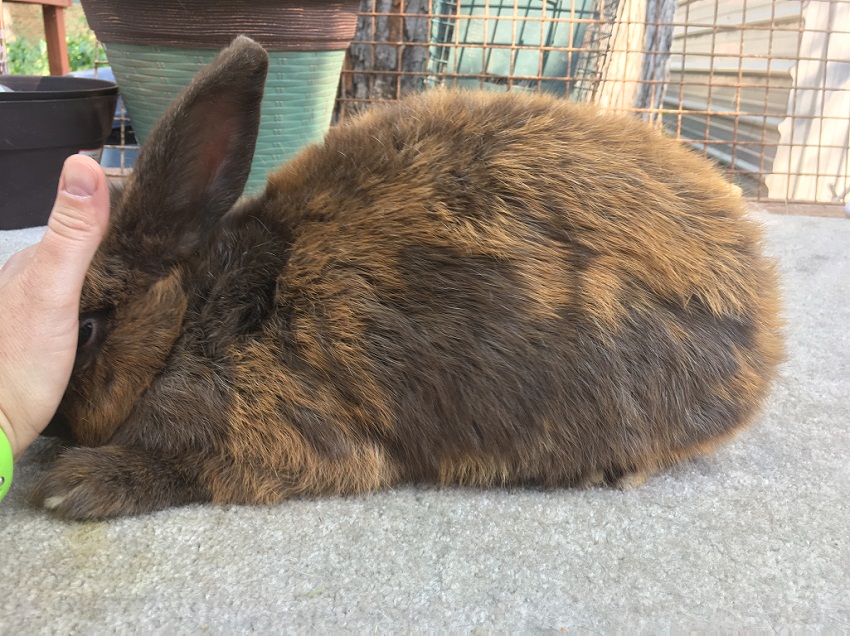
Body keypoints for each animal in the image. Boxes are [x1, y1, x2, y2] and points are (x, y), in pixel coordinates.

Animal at [32, 36, 784, 520]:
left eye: (87, 329)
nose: (50, 428)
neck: (197, 319)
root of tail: (765, 332)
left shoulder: (291, 438)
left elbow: (196, 467)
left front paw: (78, 486)